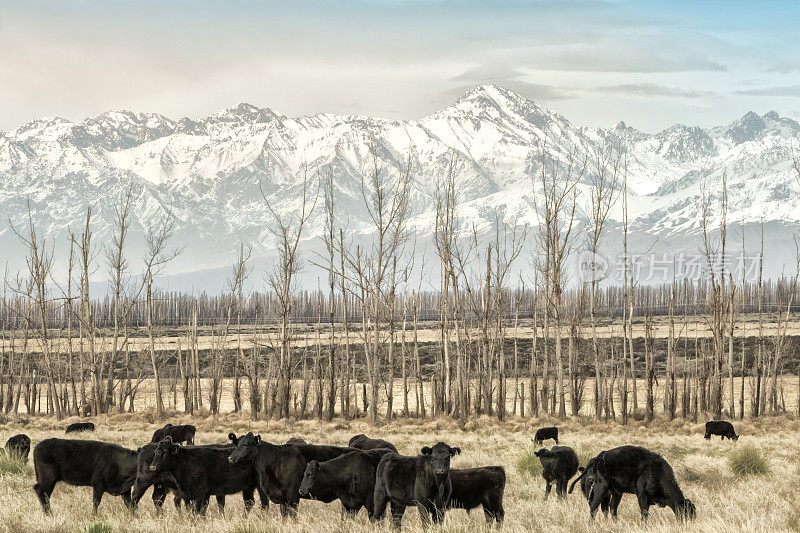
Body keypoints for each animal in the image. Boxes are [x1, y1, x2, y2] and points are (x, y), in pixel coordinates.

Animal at [230, 432, 358, 516]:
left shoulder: (293, 496)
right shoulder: (283, 499)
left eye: (245, 445)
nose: (230, 458)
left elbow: (292, 516)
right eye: (238, 444)